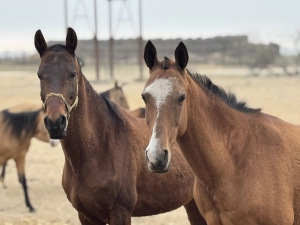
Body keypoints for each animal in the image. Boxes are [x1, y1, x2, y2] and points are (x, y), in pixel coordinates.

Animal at [33, 28, 206, 225]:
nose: (55, 123)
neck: (97, 149)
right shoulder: (86, 216)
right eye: (40, 75)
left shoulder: (120, 213)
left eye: (72, 74)